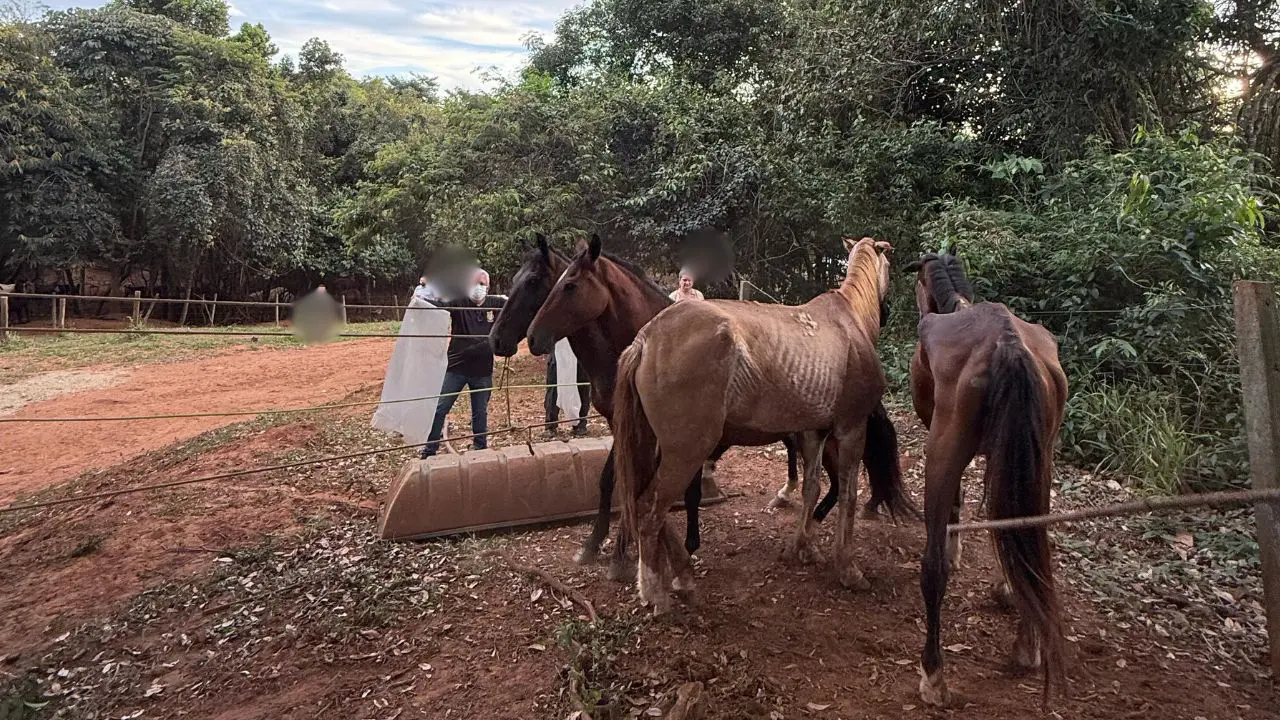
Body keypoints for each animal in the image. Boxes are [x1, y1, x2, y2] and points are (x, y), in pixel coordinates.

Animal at [611, 237, 901, 609]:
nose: (889, 308)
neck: (849, 324)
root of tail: (647, 338)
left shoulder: (814, 433)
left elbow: (811, 488)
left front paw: (802, 548)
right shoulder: (851, 428)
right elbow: (849, 494)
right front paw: (848, 568)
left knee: (644, 506)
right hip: (686, 453)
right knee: (650, 510)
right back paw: (655, 592)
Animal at [906, 248, 1075, 707]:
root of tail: (1008, 344)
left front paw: (954, 550)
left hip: (944, 450)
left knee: (931, 567)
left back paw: (933, 674)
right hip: (1040, 458)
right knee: (1034, 539)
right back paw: (1027, 643)